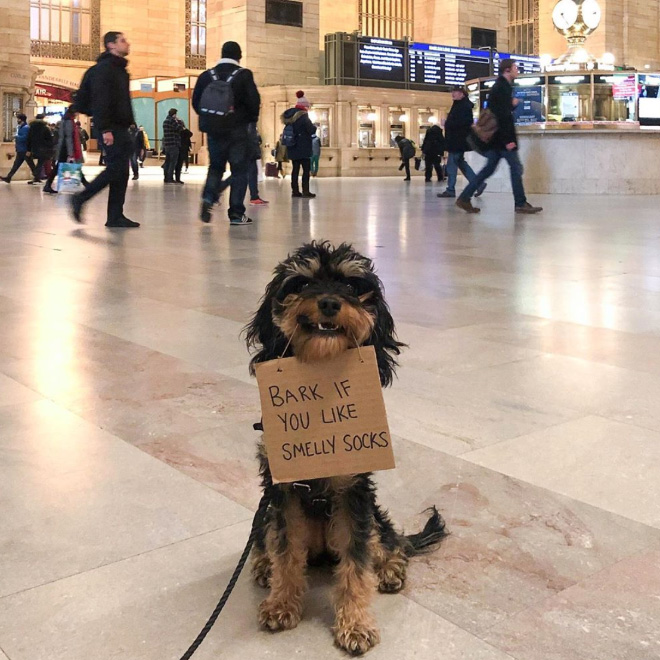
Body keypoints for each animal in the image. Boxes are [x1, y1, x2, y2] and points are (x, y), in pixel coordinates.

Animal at [245, 241, 446, 656]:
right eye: (302, 282)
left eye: (352, 286)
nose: (328, 302)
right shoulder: (282, 492)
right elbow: (285, 549)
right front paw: (281, 603)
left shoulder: (354, 493)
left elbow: (356, 563)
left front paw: (355, 624)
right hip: (267, 513)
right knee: (266, 538)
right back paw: (262, 566)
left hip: (371, 515)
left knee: (386, 541)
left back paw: (390, 567)